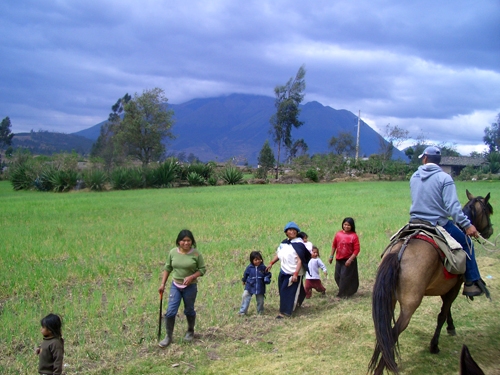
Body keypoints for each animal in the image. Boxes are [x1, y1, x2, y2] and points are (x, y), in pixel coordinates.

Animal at [370, 192, 494, 374]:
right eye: (488, 211)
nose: (490, 230)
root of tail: (400, 251)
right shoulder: (454, 287)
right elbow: (442, 314)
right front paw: (434, 345)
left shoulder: (445, 287)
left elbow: (446, 310)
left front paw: (451, 327)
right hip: (409, 305)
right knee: (393, 332)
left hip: (388, 299)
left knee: (384, 331)